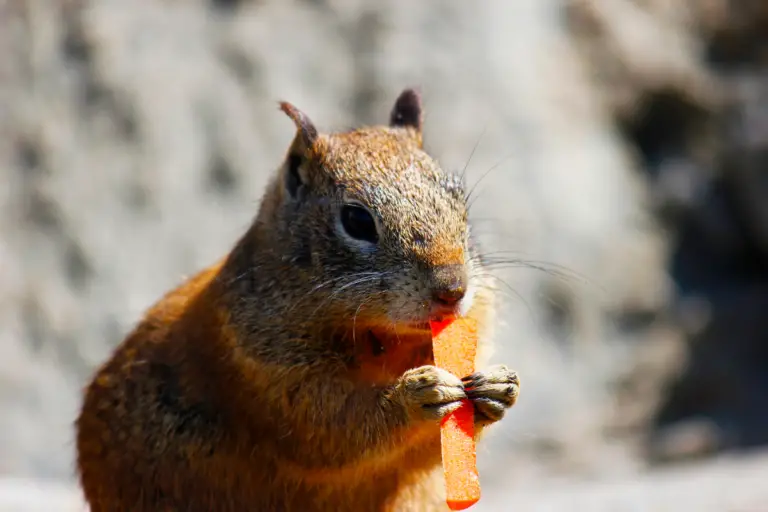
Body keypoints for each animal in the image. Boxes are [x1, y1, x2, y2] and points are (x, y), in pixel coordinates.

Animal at [76, 89, 520, 512]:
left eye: (460, 202)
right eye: (356, 220)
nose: (453, 289)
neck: (382, 336)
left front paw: (499, 387)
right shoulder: (265, 373)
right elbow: (334, 427)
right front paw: (415, 394)